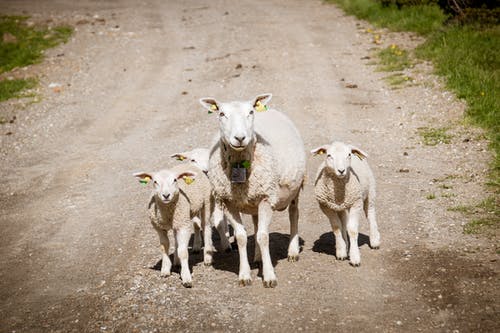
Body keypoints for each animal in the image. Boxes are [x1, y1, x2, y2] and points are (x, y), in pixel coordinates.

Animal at [199, 92, 304, 286]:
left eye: (250, 112)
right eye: (221, 114)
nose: (240, 138)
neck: (240, 163)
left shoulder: (266, 197)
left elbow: (264, 237)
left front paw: (269, 276)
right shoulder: (229, 201)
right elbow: (241, 237)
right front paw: (244, 275)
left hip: (295, 187)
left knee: (294, 214)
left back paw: (293, 251)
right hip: (255, 201)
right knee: (256, 226)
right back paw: (257, 257)